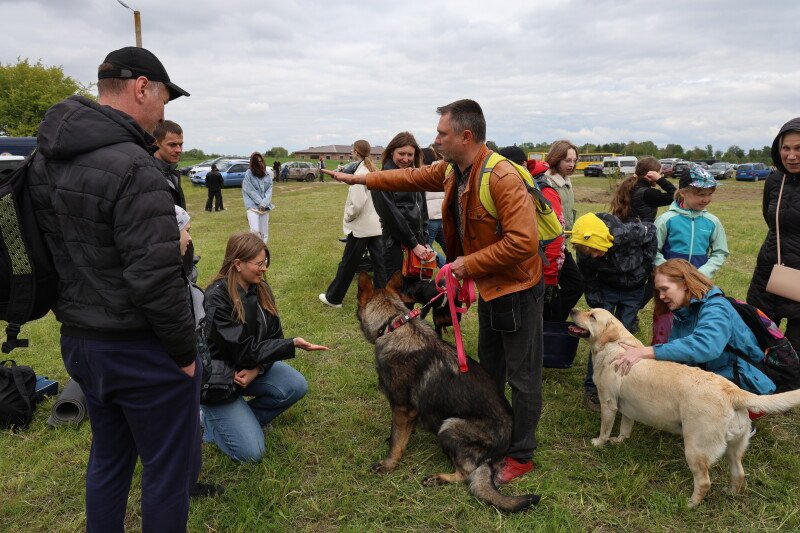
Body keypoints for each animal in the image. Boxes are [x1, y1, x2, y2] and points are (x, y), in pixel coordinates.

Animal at [356, 271, 539, 513]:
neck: (393, 325)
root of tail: (496, 455)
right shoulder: (409, 413)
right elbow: (401, 435)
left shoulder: (402, 408)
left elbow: (396, 441)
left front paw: (388, 464)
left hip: (449, 425)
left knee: (466, 474)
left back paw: (438, 478)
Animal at [569, 308, 800, 507]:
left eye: (592, 316)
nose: (573, 310)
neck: (615, 345)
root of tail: (732, 391)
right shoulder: (628, 408)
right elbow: (625, 428)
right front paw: (619, 441)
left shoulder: (608, 403)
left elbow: (605, 428)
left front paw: (599, 443)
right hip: (734, 449)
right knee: (739, 473)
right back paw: (731, 493)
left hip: (695, 448)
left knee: (704, 482)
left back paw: (690, 504)